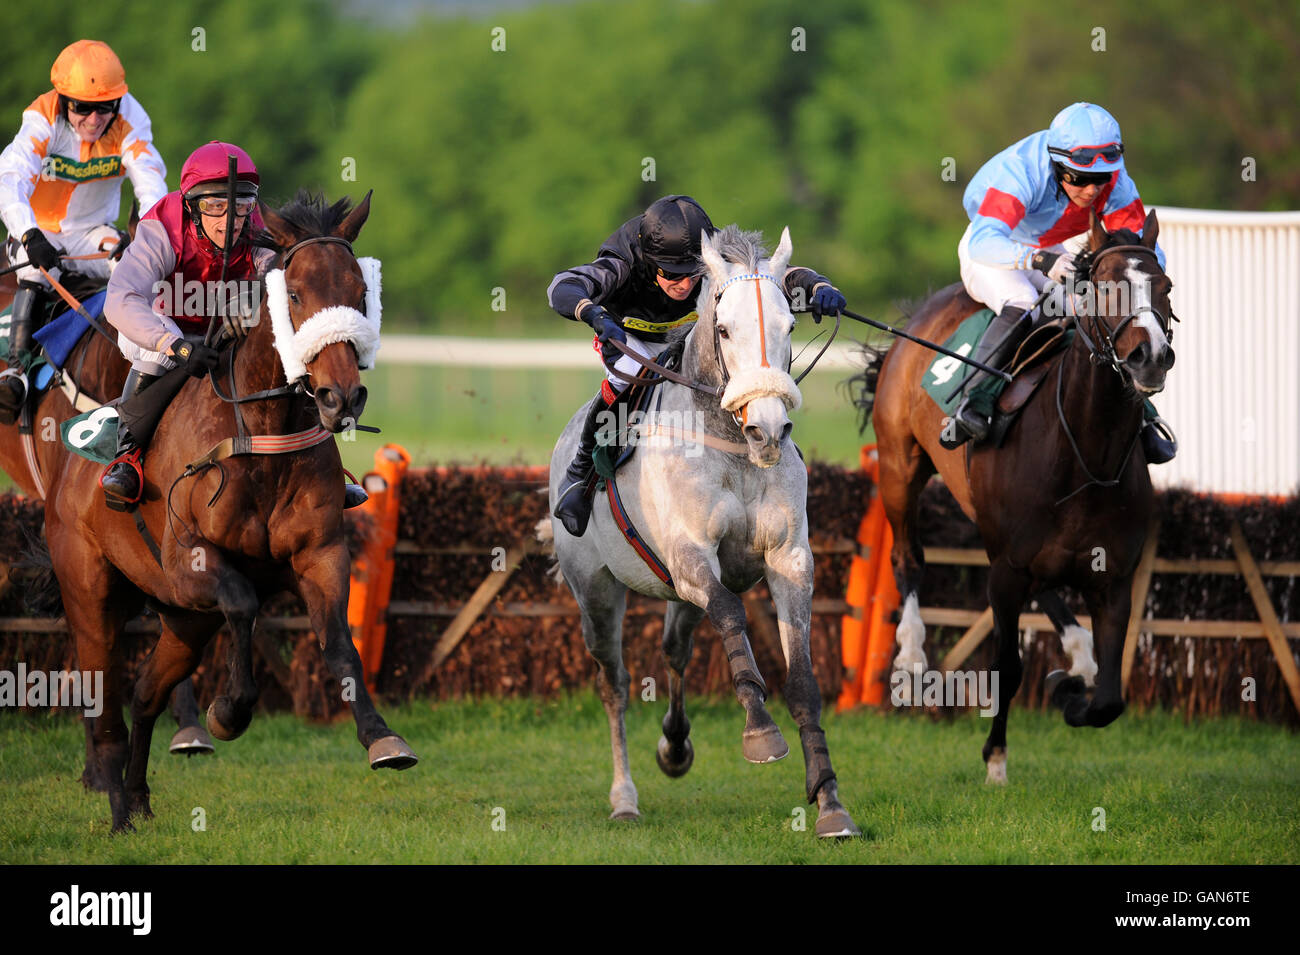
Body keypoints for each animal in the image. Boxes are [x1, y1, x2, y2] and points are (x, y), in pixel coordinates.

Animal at [24, 192, 416, 831]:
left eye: (361, 292)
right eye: (294, 295)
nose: (340, 397)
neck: (262, 432)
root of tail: (63, 481)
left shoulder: (321, 552)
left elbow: (339, 641)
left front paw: (383, 738)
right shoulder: (190, 560)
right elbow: (243, 602)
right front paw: (228, 711)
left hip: (182, 620)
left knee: (144, 694)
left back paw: (139, 797)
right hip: (90, 592)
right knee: (104, 706)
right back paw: (115, 808)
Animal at [548, 223, 863, 836]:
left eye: (791, 326)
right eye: (722, 328)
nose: (768, 428)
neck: (733, 446)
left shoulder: (790, 560)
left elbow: (803, 680)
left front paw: (831, 804)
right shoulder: (692, 558)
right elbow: (735, 615)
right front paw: (760, 731)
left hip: (677, 595)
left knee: (675, 651)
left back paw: (674, 746)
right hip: (596, 590)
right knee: (615, 683)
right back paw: (624, 797)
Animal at [857, 210, 1175, 784]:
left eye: (1165, 286)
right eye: (1104, 287)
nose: (1152, 357)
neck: (1085, 456)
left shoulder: (1114, 579)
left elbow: (1109, 698)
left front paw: (1070, 688)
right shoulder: (1005, 571)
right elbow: (1007, 666)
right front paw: (996, 760)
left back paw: (1077, 654)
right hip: (898, 464)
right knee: (907, 555)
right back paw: (911, 656)